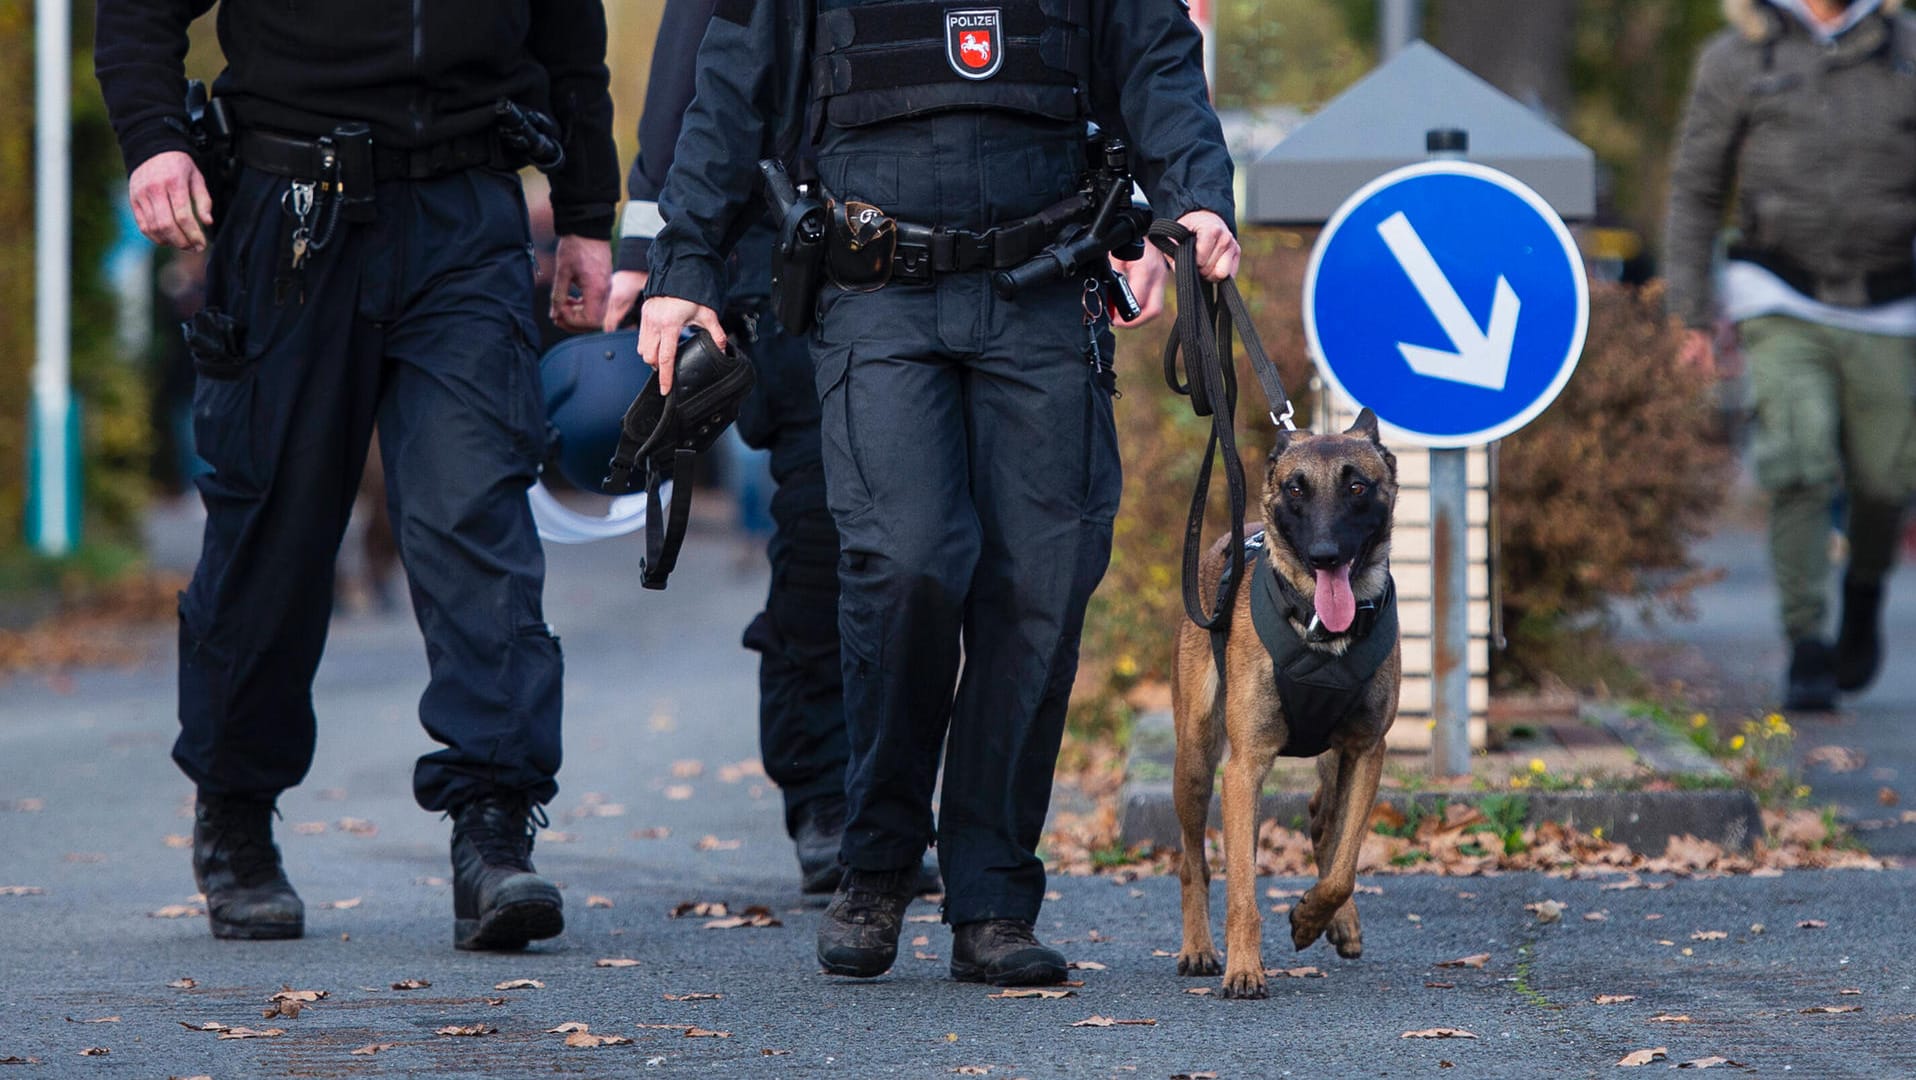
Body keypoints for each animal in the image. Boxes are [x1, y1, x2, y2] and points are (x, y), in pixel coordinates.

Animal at [1157, 409, 1402, 1003]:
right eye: (1296, 489)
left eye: (1357, 487)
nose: (1324, 556)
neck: (1321, 631)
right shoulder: (1244, 770)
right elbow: (1242, 888)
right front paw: (1244, 969)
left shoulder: (1367, 752)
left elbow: (1343, 867)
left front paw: (1313, 917)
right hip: (1195, 765)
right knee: (1193, 863)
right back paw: (1199, 949)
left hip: (1335, 761)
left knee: (1323, 823)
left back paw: (1339, 921)